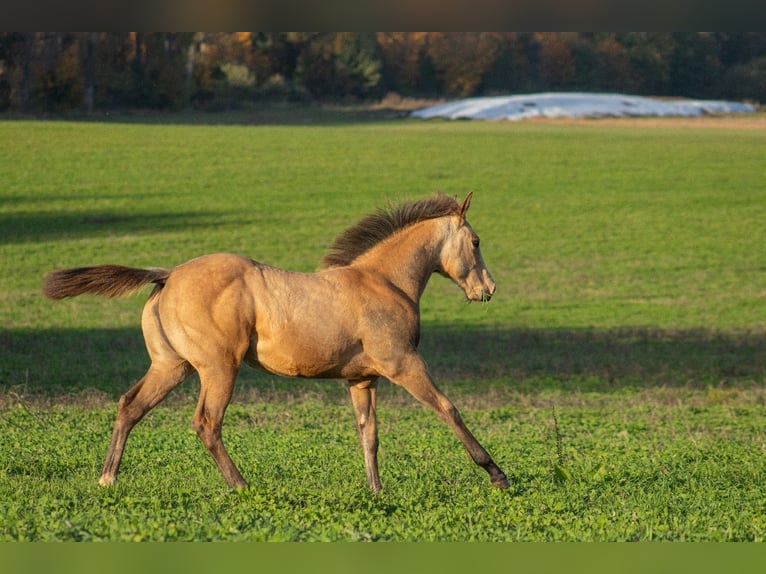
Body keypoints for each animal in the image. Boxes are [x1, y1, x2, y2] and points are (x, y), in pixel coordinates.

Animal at [42, 194, 510, 496]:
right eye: (476, 241)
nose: (488, 289)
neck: (383, 282)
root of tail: (168, 274)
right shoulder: (403, 364)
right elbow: (448, 409)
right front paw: (497, 474)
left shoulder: (362, 380)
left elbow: (369, 434)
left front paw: (377, 492)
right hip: (218, 367)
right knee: (206, 423)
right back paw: (242, 486)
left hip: (171, 366)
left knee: (130, 405)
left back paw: (107, 479)